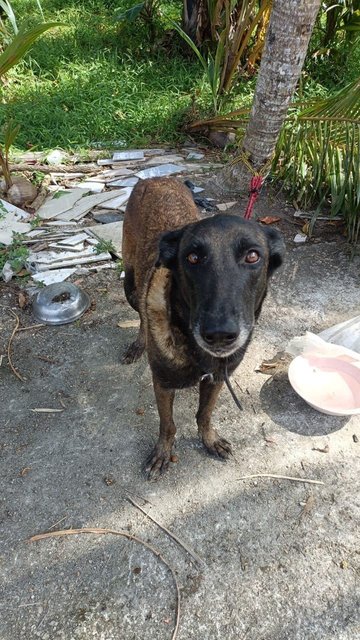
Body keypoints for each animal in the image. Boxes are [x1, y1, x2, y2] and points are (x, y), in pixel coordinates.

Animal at [122, 178, 286, 478]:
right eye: (193, 258)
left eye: (252, 256)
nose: (220, 335)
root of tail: (151, 179)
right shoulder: (162, 383)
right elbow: (168, 424)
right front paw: (163, 452)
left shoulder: (217, 379)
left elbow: (204, 414)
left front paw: (209, 439)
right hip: (129, 282)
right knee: (140, 311)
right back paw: (138, 344)